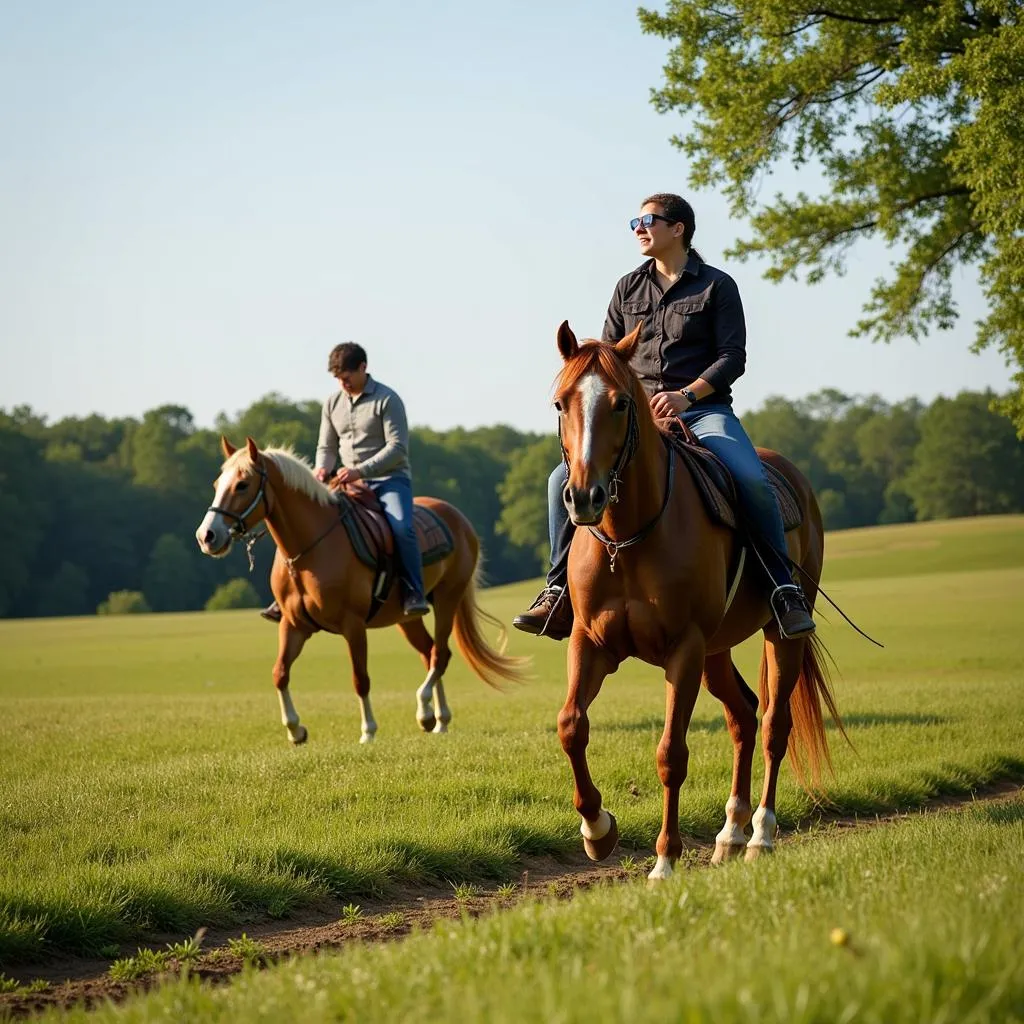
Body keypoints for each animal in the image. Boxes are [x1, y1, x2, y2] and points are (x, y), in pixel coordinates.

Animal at [194, 434, 528, 745]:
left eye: (242, 485)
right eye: (217, 483)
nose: (207, 536)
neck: (311, 548)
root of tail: (457, 518)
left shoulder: (352, 625)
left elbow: (360, 678)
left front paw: (368, 730)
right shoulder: (293, 625)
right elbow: (280, 673)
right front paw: (295, 730)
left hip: (448, 598)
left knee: (440, 655)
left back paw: (425, 711)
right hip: (408, 617)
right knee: (430, 652)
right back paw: (438, 719)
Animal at [552, 325, 847, 880]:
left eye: (621, 403)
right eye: (560, 403)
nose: (584, 497)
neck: (627, 539)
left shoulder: (683, 649)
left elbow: (671, 753)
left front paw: (665, 861)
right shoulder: (590, 641)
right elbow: (571, 727)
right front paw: (598, 831)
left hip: (777, 638)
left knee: (774, 725)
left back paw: (760, 835)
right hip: (716, 652)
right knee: (744, 717)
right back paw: (730, 833)